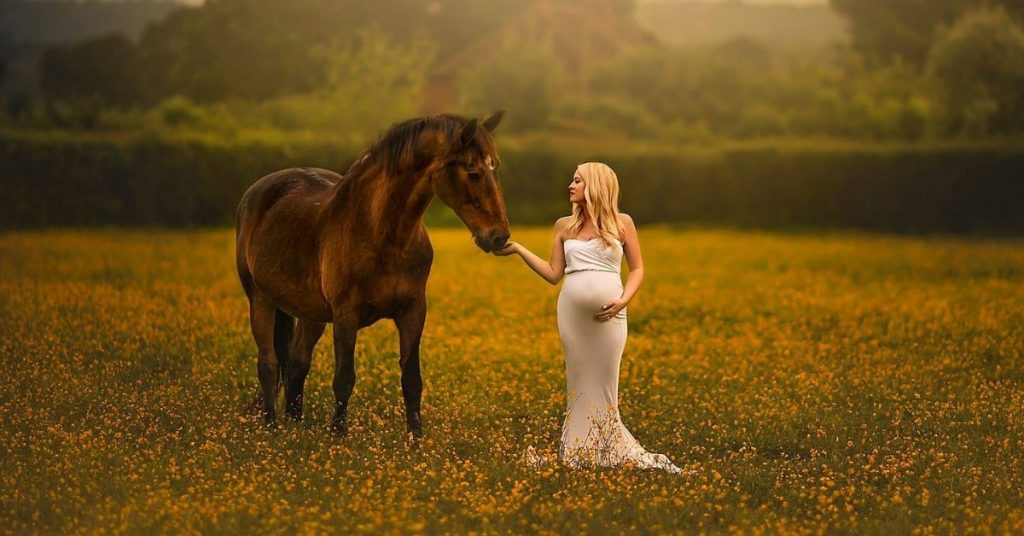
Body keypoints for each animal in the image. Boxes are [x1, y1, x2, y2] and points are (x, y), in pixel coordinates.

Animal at [235, 111, 509, 436]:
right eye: (473, 173)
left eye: (495, 169)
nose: (499, 237)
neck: (382, 230)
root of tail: (256, 193)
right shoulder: (346, 315)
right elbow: (344, 379)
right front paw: (338, 436)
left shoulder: (413, 311)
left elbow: (411, 380)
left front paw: (416, 439)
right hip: (260, 300)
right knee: (268, 363)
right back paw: (272, 428)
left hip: (311, 313)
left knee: (298, 362)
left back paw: (295, 425)